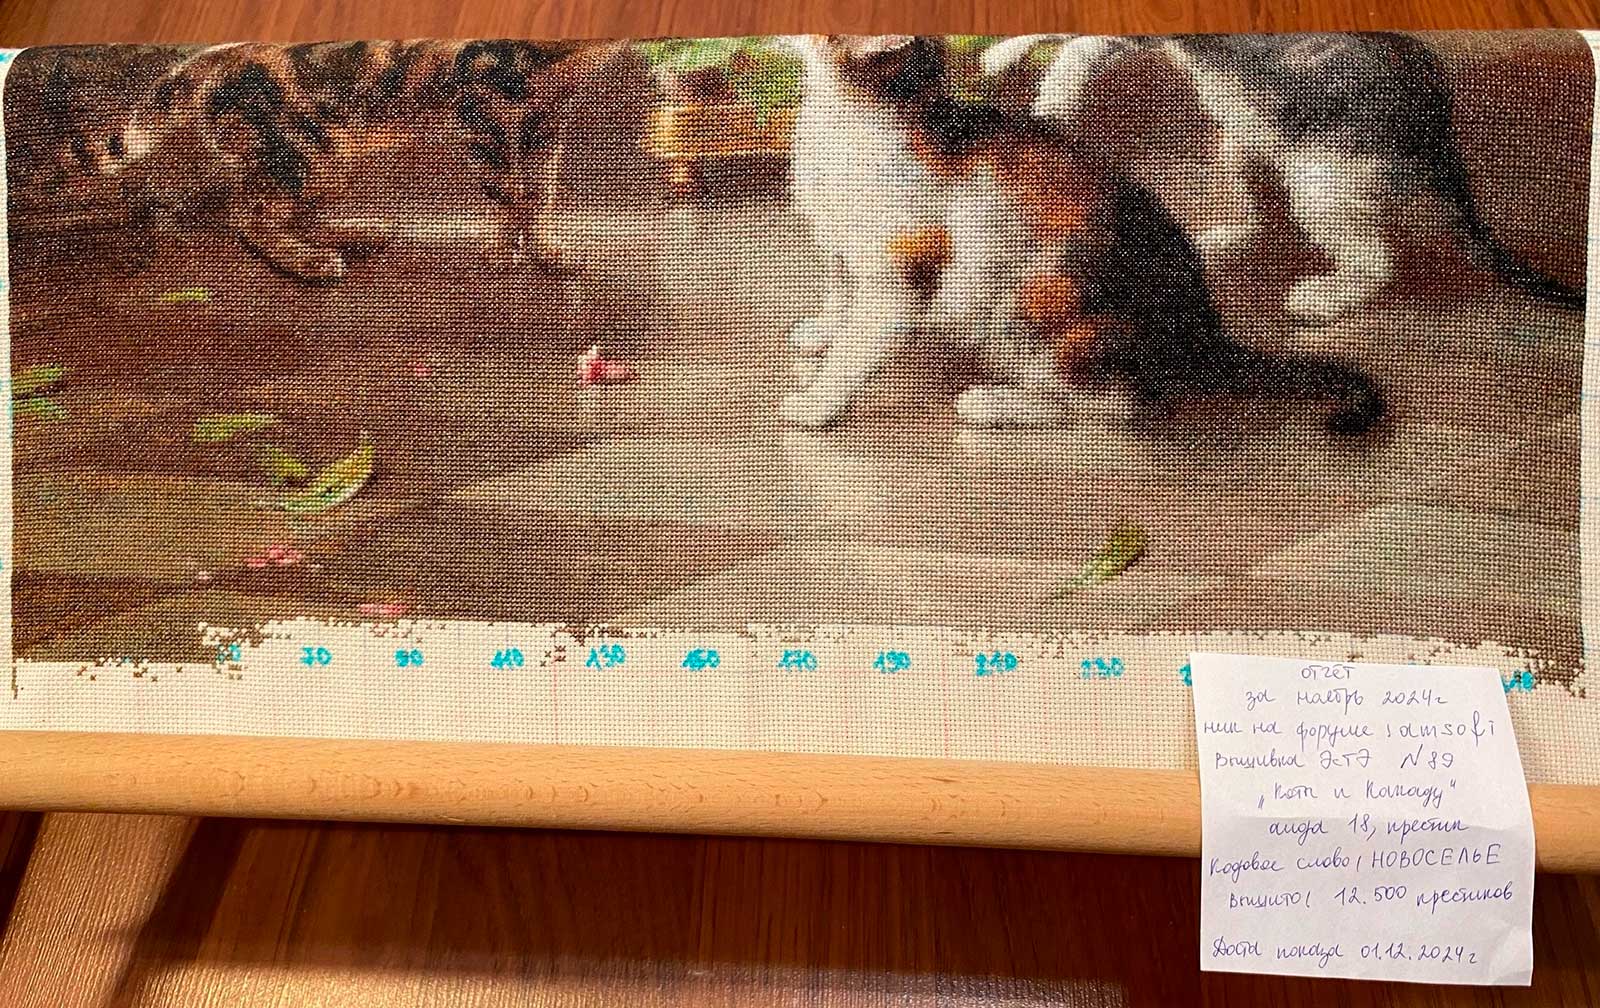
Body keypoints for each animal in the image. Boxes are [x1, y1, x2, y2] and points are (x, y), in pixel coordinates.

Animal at [101, 39, 620, 281]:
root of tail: (223, 54)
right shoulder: (485, 106)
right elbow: (510, 191)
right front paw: (503, 250)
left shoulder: (546, 118)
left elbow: (541, 190)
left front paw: (546, 249)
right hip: (309, 152)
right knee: (245, 213)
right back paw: (309, 262)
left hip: (326, 164)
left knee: (278, 210)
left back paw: (360, 232)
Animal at [780, 34, 1385, 433]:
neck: (841, 121)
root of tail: (1203, 338)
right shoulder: (833, 238)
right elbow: (837, 288)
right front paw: (824, 328)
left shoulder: (901, 271)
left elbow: (857, 345)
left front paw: (816, 402)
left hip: (1035, 290)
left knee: (1111, 403)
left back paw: (995, 404)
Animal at [981, 33, 1585, 322]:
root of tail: (1434, 117)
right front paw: (1018, 65)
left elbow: (1078, 37)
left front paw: (1043, 85)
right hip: (1244, 133)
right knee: (1254, 212)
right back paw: (1222, 241)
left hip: (1321, 180)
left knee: (1376, 263)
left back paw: (1324, 298)